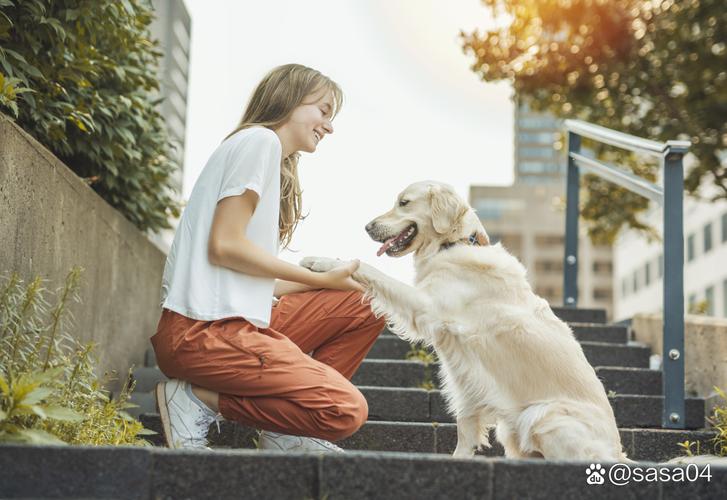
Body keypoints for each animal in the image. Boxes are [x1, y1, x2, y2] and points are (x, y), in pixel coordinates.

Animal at [302, 181, 632, 460]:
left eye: (404, 203)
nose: (368, 227)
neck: (454, 244)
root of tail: (618, 453)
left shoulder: (427, 306)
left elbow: (370, 269)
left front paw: (322, 262)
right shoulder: (466, 373)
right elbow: (465, 424)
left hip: (542, 415)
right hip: (512, 428)